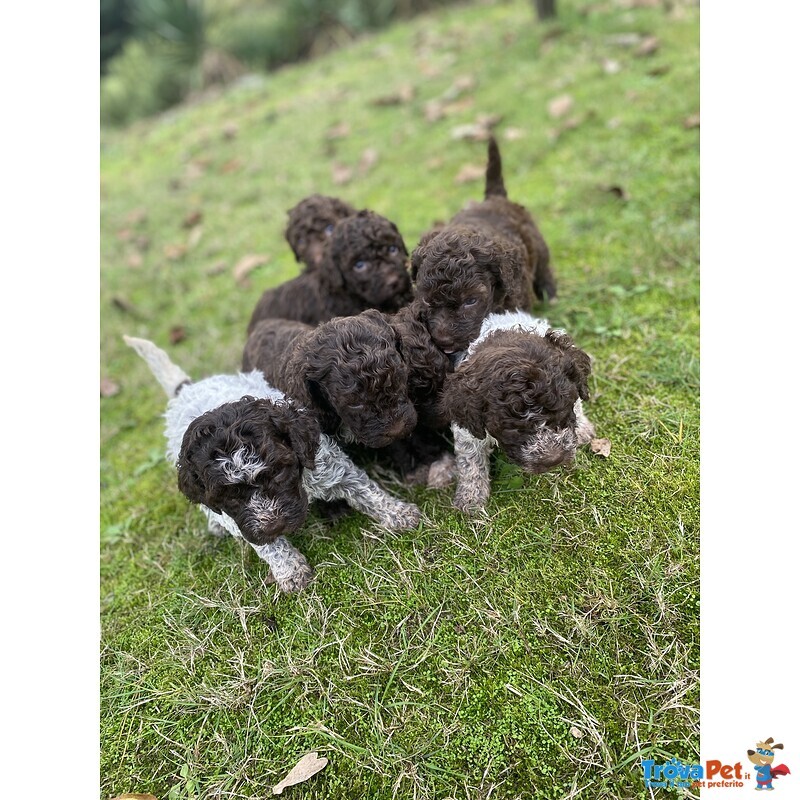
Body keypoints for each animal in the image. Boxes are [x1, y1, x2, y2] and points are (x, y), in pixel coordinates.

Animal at [124, 334, 422, 592]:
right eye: (228, 495)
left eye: (278, 472)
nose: (274, 525)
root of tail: (188, 389)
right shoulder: (240, 518)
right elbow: (265, 544)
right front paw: (290, 570)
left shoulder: (326, 464)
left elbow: (365, 490)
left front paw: (398, 513)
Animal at [412, 139, 556, 354]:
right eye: (426, 300)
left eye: (471, 301)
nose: (444, 341)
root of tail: (494, 198)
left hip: (537, 243)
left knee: (543, 267)